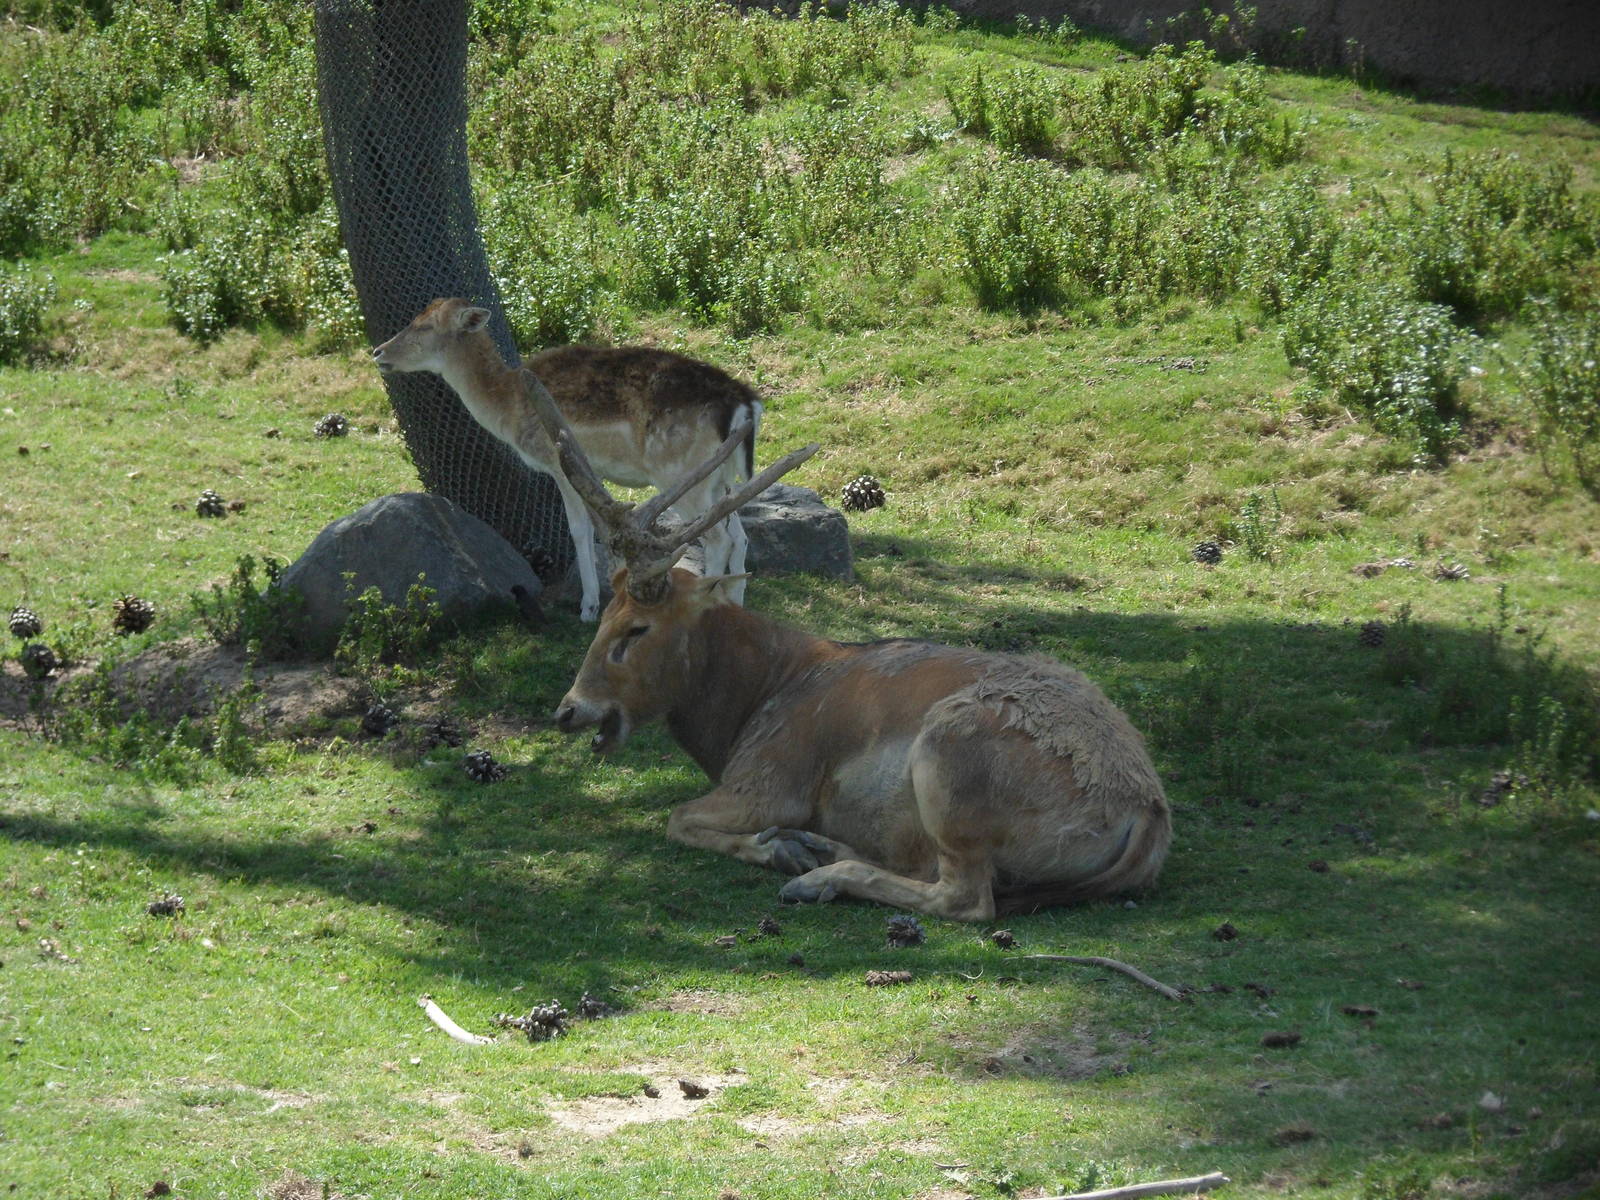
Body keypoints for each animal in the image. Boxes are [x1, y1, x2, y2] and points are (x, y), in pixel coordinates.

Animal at [371, 298, 762, 621]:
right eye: (414, 317)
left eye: (425, 326)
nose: (378, 351)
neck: (506, 404)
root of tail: (745, 403)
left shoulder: (558, 462)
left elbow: (578, 530)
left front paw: (588, 608)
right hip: (719, 478)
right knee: (739, 535)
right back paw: (736, 605)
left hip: (680, 474)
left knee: (718, 538)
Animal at [526, 392, 1173, 920]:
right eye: (603, 617)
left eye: (636, 628)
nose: (568, 710)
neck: (748, 708)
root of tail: (1146, 813)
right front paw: (788, 844)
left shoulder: (770, 781)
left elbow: (676, 818)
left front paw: (777, 849)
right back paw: (822, 850)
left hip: (951, 765)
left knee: (965, 898)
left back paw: (819, 875)